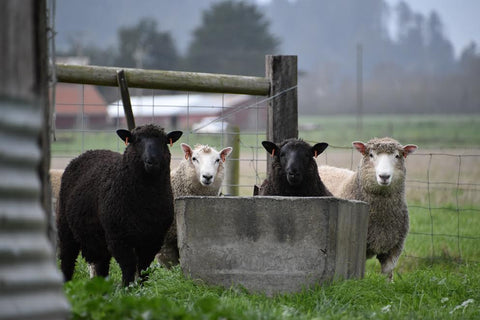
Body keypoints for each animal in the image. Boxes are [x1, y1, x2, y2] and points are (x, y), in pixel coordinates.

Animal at [56, 124, 183, 284]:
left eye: (163, 141)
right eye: (136, 140)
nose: (152, 161)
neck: (146, 202)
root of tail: (89, 151)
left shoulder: (154, 238)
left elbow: (144, 266)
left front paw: (142, 287)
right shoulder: (118, 236)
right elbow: (128, 264)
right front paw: (127, 286)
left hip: (100, 237)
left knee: (102, 263)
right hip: (66, 226)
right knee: (68, 257)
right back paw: (66, 282)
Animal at [320, 137, 418, 280]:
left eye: (397, 156)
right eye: (371, 155)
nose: (384, 176)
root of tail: (323, 167)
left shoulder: (394, 248)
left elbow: (388, 274)